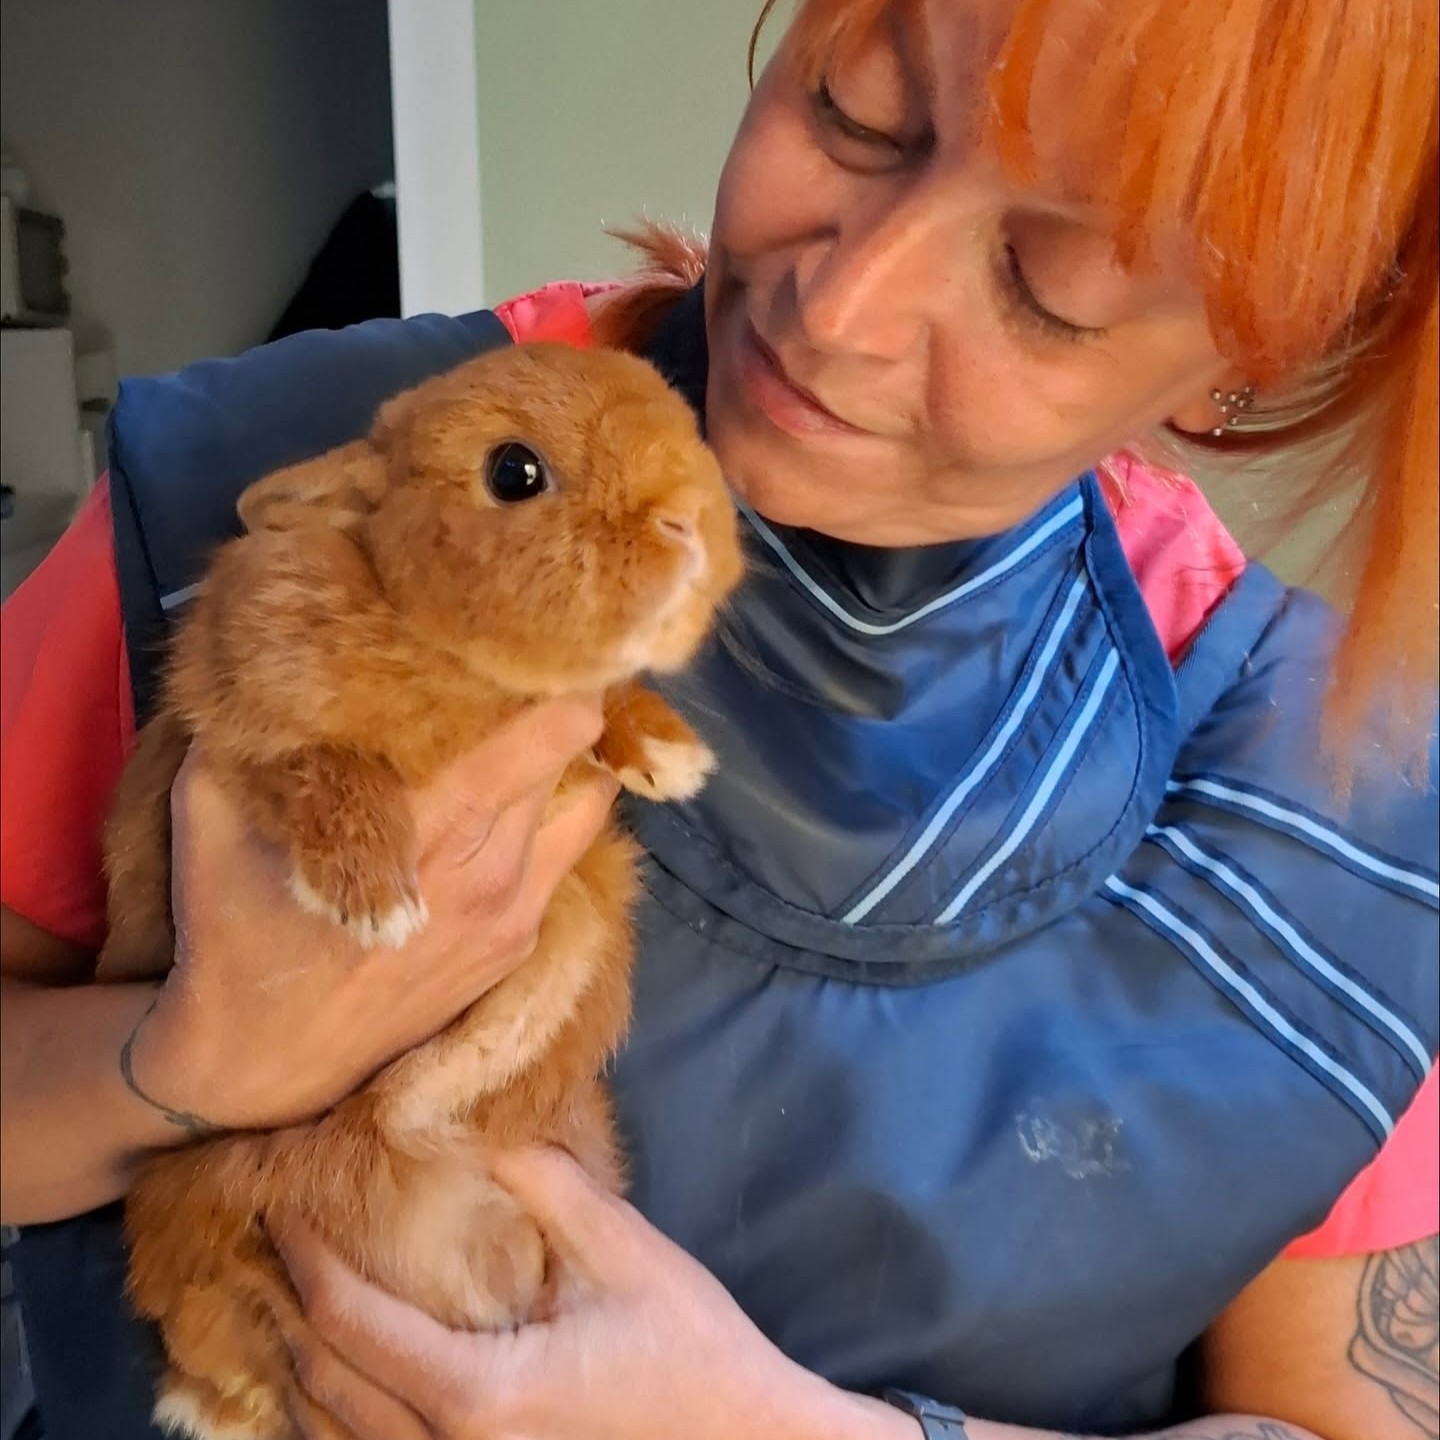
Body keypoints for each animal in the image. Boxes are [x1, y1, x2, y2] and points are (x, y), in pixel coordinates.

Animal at [93, 339, 744, 1440]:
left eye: (685, 420)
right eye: (513, 471)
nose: (688, 523)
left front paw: (667, 754)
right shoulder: (235, 720)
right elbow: (316, 764)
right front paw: (373, 900)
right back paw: (202, 1410)